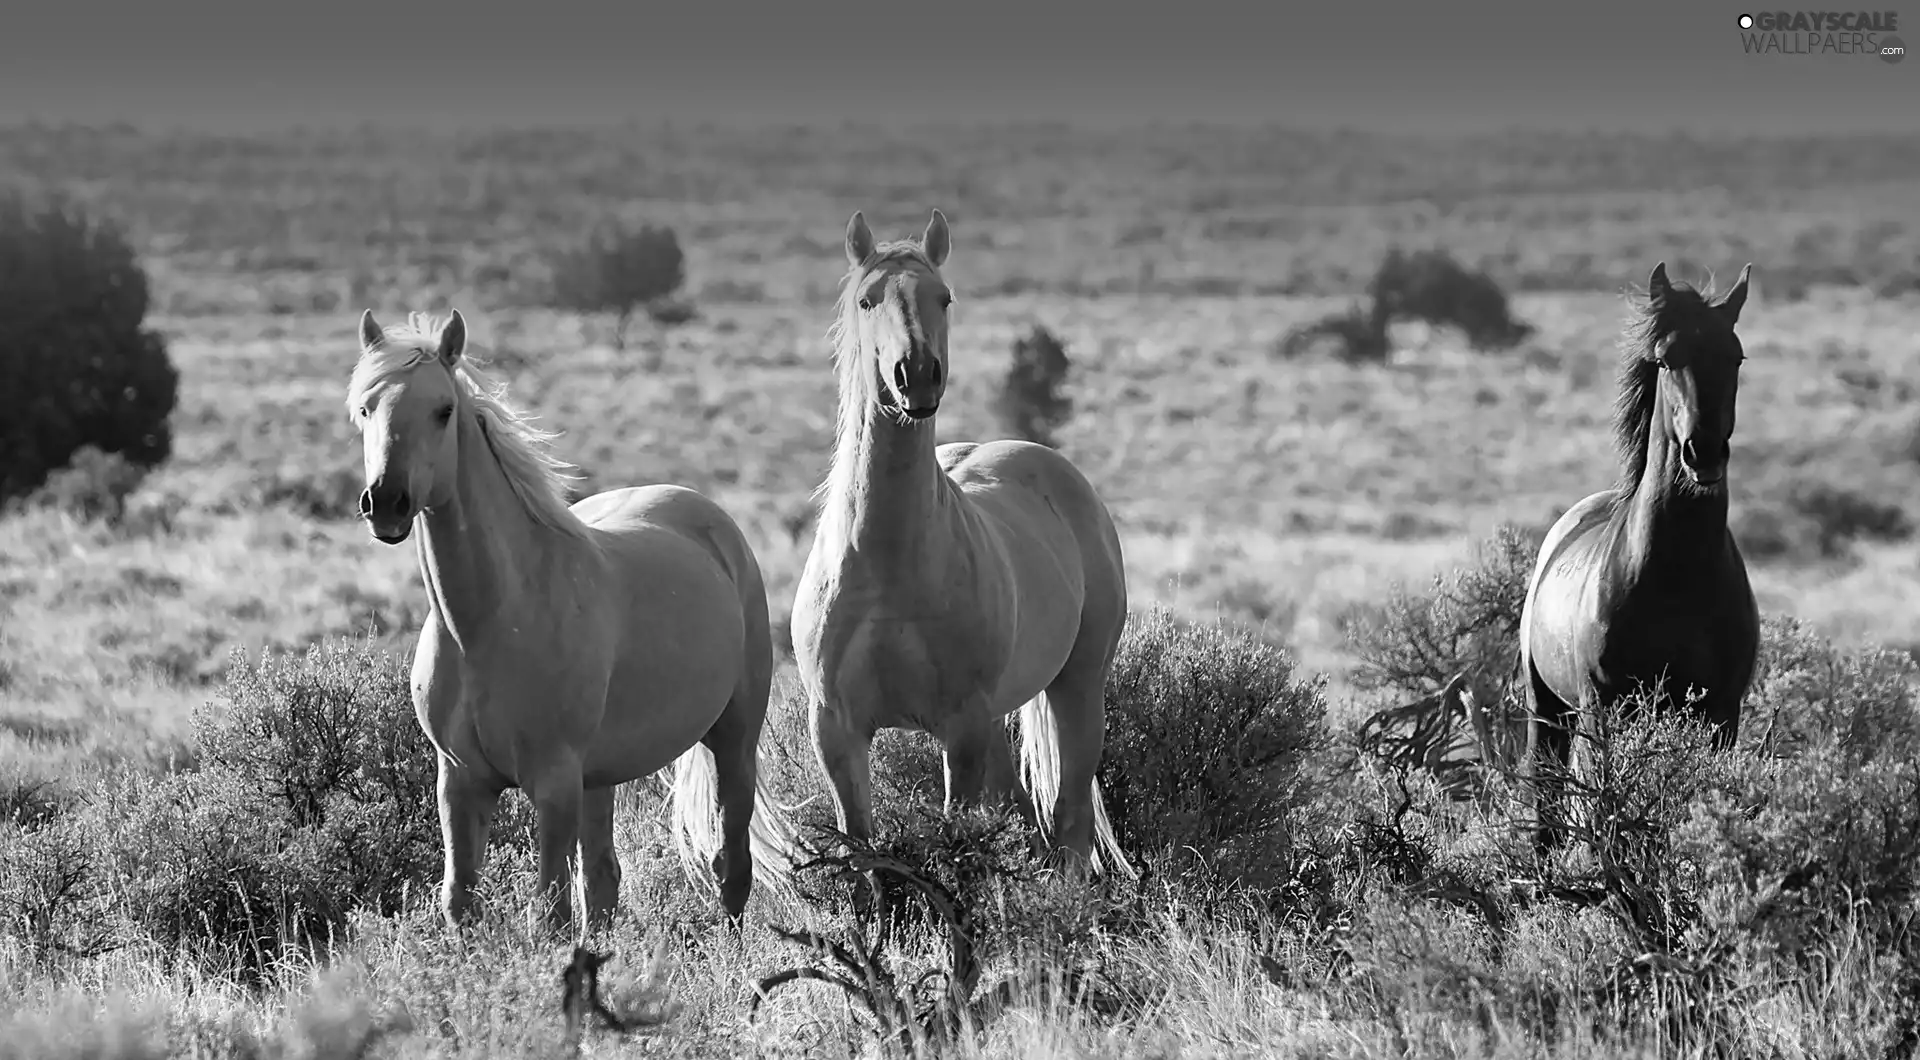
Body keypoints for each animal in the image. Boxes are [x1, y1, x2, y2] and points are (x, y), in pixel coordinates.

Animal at [347, 311, 794, 933]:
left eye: (443, 410)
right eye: (366, 408)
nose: (386, 502)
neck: (486, 626)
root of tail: (712, 521)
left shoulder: (554, 784)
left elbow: (552, 907)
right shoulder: (459, 782)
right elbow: (460, 899)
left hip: (733, 739)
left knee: (731, 864)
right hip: (599, 776)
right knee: (605, 881)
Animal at [787, 211, 1128, 871]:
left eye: (943, 298)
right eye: (867, 300)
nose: (917, 376)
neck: (886, 564)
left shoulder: (961, 727)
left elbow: (957, 845)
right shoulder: (837, 731)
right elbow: (865, 856)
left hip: (1077, 689)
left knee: (1069, 823)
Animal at [1520, 261, 1758, 848]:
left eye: (1736, 356)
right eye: (1667, 358)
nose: (1703, 454)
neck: (1677, 575)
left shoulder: (1723, 713)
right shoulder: (1605, 708)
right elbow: (1610, 814)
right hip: (1549, 711)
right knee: (1546, 803)